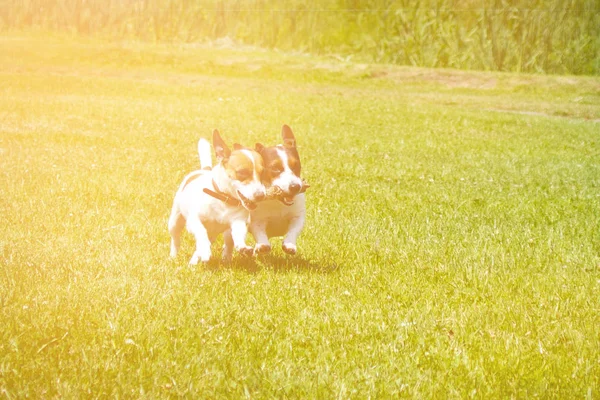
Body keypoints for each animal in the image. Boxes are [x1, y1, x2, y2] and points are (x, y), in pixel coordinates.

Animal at [166, 130, 264, 264]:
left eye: (264, 173)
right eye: (242, 173)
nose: (261, 195)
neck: (224, 200)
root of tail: (204, 170)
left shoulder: (238, 221)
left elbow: (238, 234)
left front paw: (242, 246)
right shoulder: (194, 220)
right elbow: (201, 231)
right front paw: (205, 251)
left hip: (222, 233)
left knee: (226, 243)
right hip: (175, 221)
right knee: (176, 239)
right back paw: (175, 256)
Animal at [224, 123, 308, 258]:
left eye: (296, 166)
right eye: (275, 168)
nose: (295, 187)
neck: (278, 201)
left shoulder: (298, 217)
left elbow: (293, 230)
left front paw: (289, 244)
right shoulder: (257, 220)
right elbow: (260, 232)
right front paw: (262, 245)